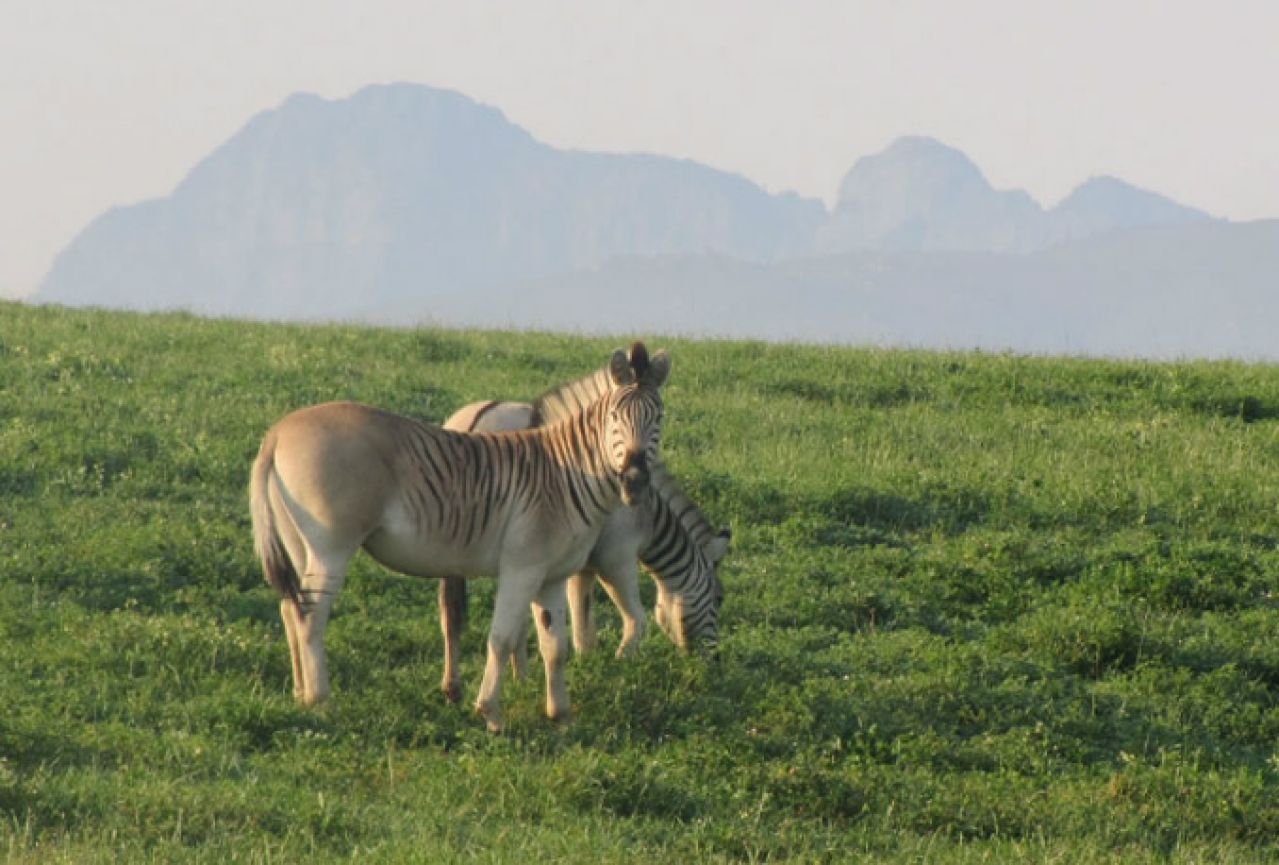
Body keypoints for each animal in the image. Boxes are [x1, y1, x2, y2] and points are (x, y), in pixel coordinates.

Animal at [249, 340, 670, 731]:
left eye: (659, 418)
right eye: (615, 416)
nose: (635, 481)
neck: (565, 476)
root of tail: (277, 432)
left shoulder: (552, 575)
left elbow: (556, 646)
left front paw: (560, 716)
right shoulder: (522, 567)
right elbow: (502, 638)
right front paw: (491, 714)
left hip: (299, 544)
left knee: (291, 608)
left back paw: (300, 694)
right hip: (332, 546)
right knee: (311, 616)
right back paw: (322, 702)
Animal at [437, 368, 726, 701]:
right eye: (719, 599)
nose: (714, 663)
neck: (649, 516)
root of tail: (472, 421)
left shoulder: (580, 564)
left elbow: (582, 624)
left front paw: (583, 668)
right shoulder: (616, 558)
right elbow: (635, 621)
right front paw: (615, 672)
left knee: (452, 613)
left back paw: (458, 687)